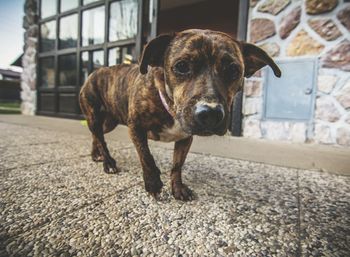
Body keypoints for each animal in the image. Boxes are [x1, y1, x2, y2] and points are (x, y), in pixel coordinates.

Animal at [79, 28, 282, 200]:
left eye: (233, 70)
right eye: (182, 66)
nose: (210, 113)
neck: (169, 106)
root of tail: (93, 73)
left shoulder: (185, 138)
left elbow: (177, 165)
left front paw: (177, 188)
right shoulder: (135, 127)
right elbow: (146, 157)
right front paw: (153, 183)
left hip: (108, 122)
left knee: (97, 136)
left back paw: (96, 154)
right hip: (94, 116)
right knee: (100, 137)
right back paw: (108, 163)